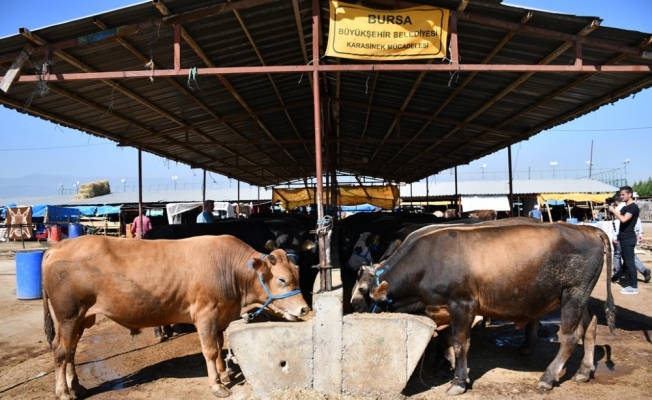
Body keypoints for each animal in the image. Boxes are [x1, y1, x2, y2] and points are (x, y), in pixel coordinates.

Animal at [42, 236, 310, 398]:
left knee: (71, 351)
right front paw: (217, 385)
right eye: (282, 279)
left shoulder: (219, 316)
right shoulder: (205, 315)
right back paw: (63, 392)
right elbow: (210, 350)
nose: (304, 309)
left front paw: (224, 374)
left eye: (297, 274)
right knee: (62, 352)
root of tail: (57, 247)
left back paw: (77, 386)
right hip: (68, 316)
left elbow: (219, 346)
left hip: (79, 319)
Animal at [354, 223, 612, 396]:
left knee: (570, 337)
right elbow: (448, 342)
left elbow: (460, 343)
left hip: (573, 293)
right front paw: (454, 370)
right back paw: (584, 371)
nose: (354, 310)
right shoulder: (444, 309)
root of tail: (589, 229)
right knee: (590, 326)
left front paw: (458, 382)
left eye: (363, 291)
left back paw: (548, 378)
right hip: (579, 296)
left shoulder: (462, 304)